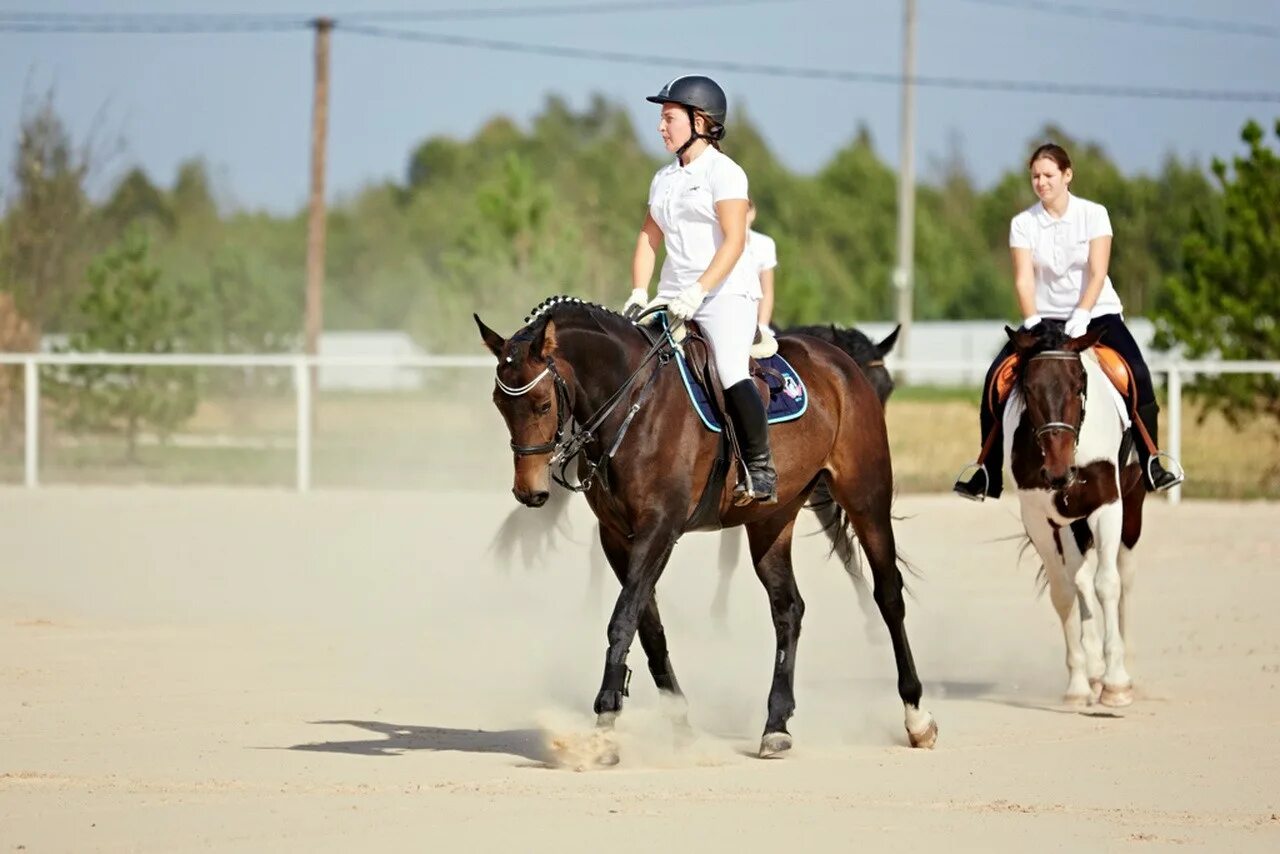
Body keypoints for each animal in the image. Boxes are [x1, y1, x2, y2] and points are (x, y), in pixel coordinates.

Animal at [476, 295, 936, 763]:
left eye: (542, 404)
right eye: (499, 402)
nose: (529, 490)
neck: (633, 405)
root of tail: (840, 363)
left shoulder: (659, 529)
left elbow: (623, 619)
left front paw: (605, 725)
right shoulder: (618, 537)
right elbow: (648, 626)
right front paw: (679, 723)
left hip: (864, 496)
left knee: (888, 595)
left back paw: (917, 717)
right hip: (772, 519)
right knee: (788, 608)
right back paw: (776, 725)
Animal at [1003, 322, 1146, 706]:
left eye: (1078, 385)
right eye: (1029, 389)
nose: (1057, 471)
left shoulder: (1107, 506)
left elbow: (1108, 583)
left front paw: (1116, 683)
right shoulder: (1040, 520)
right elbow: (1064, 591)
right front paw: (1080, 684)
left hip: (1131, 509)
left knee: (1124, 576)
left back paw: (1122, 669)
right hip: (1068, 525)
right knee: (1079, 577)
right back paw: (1094, 671)